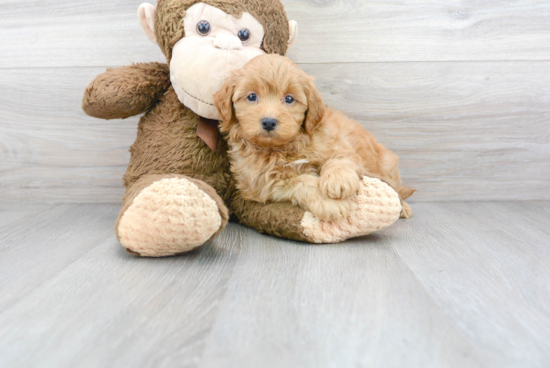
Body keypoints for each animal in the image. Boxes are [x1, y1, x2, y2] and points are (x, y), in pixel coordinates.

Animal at [216, 54, 414, 221]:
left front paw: (338, 180)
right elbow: (301, 180)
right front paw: (330, 203)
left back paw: (403, 207)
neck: (284, 147)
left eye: (289, 99)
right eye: (251, 96)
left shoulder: (340, 146)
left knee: (395, 189)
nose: (269, 122)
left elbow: (338, 160)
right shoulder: (262, 182)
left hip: (387, 167)